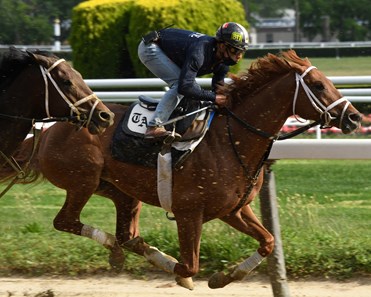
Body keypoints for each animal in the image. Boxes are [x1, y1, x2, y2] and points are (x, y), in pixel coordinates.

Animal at [1, 50, 362, 290]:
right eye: (318, 85)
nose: (355, 117)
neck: (231, 138)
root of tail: (48, 130)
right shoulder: (190, 212)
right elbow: (190, 264)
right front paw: (186, 275)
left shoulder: (234, 209)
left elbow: (269, 241)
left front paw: (224, 277)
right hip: (83, 181)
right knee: (67, 222)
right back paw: (117, 250)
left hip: (122, 191)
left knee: (127, 235)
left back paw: (123, 251)